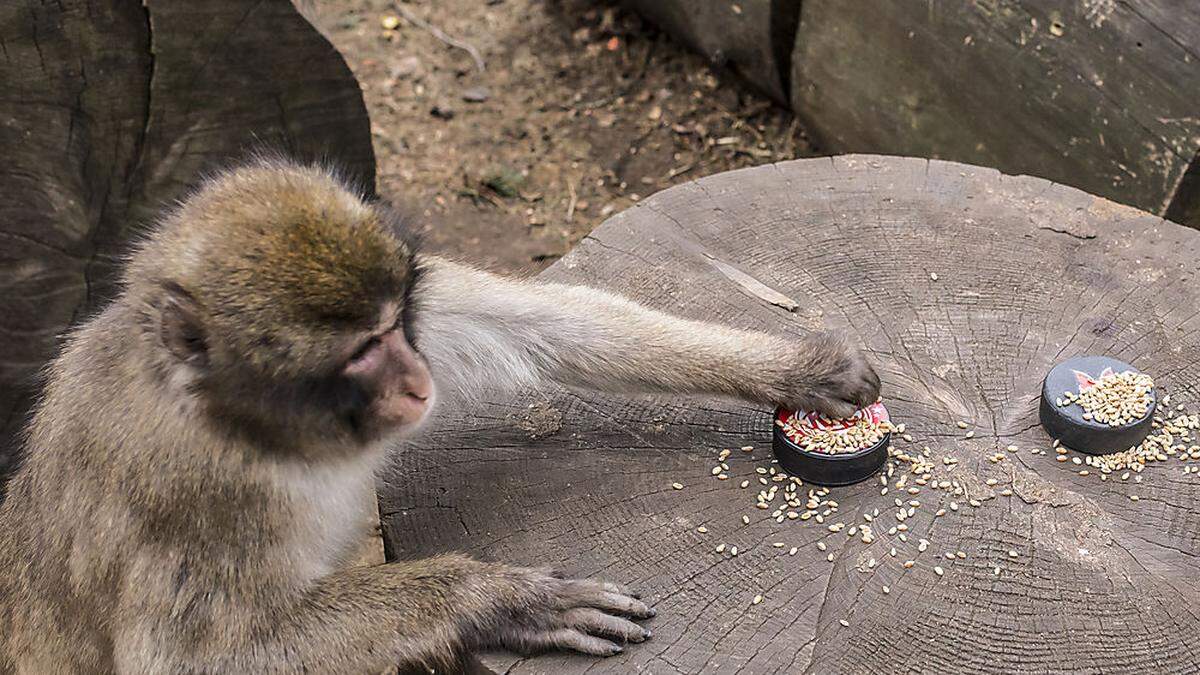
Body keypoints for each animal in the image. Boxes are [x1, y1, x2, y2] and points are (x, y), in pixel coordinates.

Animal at [0, 158, 883, 672]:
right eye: (361, 351)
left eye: (396, 324)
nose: (416, 375)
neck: (260, 425)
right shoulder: (195, 492)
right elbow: (196, 660)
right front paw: (497, 600)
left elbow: (543, 327)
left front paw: (794, 368)